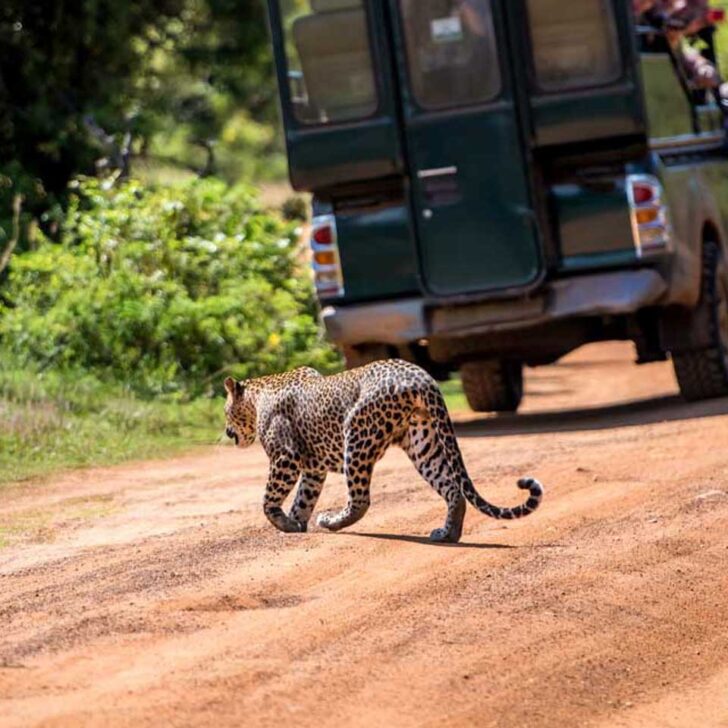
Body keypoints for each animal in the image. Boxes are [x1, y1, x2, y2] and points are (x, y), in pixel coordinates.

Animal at [223, 359, 543, 543]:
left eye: (226, 411)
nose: (227, 432)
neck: (257, 394)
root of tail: (422, 376)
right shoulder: (313, 469)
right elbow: (304, 497)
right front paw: (296, 522)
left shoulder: (285, 457)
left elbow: (268, 498)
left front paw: (284, 523)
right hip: (422, 441)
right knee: (453, 488)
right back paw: (447, 534)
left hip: (357, 434)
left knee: (360, 500)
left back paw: (332, 522)